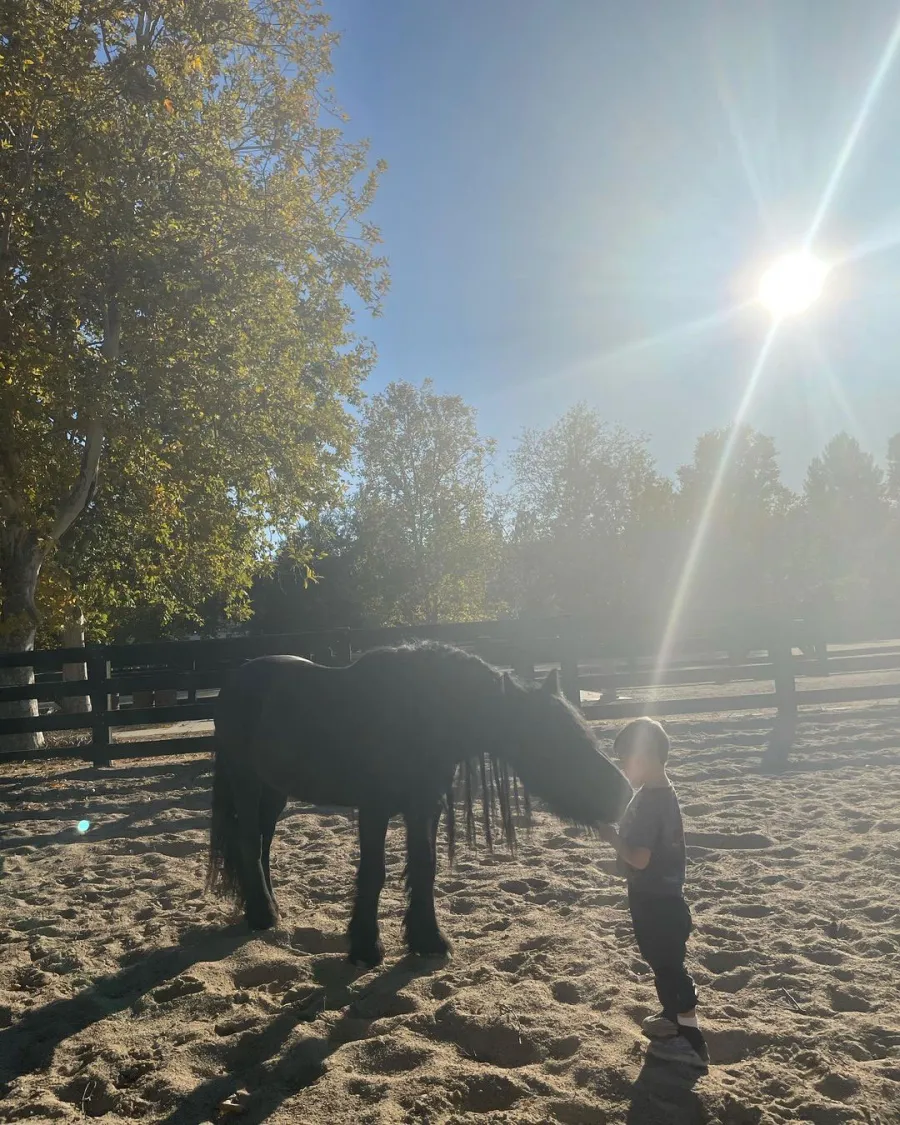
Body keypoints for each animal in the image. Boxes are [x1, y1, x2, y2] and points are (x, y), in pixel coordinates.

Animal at [206, 640, 632, 968]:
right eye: (555, 736)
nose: (623, 793)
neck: (418, 714)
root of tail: (234, 683)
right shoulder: (374, 808)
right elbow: (374, 873)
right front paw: (365, 947)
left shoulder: (425, 806)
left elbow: (425, 866)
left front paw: (428, 940)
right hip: (247, 783)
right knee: (248, 842)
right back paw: (261, 915)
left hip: (274, 791)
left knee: (261, 844)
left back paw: (268, 907)